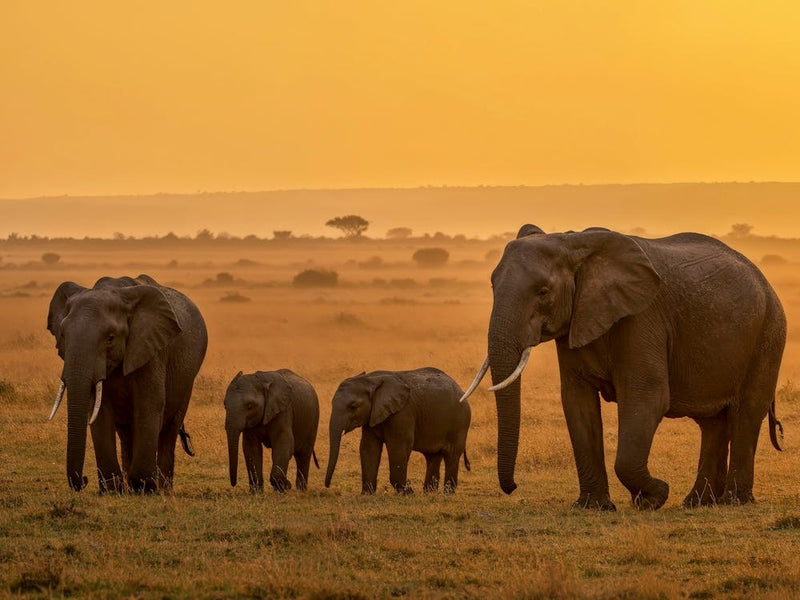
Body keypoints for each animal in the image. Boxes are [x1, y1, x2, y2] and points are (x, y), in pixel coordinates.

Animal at [47, 274, 207, 493]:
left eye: (110, 338)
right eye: (63, 335)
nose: (84, 480)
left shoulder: (150, 349)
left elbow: (149, 405)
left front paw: (144, 487)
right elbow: (98, 411)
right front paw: (112, 490)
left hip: (187, 379)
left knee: (170, 429)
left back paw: (162, 489)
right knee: (126, 432)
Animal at [325, 368, 471, 494]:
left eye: (353, 406)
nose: (327, 485)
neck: (370, 380)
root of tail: (459, 388)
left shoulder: (402, 413)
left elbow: (398, 448)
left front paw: (408, 493)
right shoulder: (372, 416)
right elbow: (368, 448)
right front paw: (366, 494)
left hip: (460, 423)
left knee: (452, 455)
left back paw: (447, 493)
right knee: (432, 456)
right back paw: (429, 493)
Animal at [462, 225, 786, 510]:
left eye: (543, 292)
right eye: (492, 285)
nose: (513, 487)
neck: (573, 244)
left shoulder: (642, 318)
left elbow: (647, 397)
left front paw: (654, 497)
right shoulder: (576, 321)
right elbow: (577, 402)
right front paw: (593, 507)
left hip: (769, 334)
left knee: (746, 413)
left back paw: (734, 501)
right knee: (712, 422)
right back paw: (699, 503)